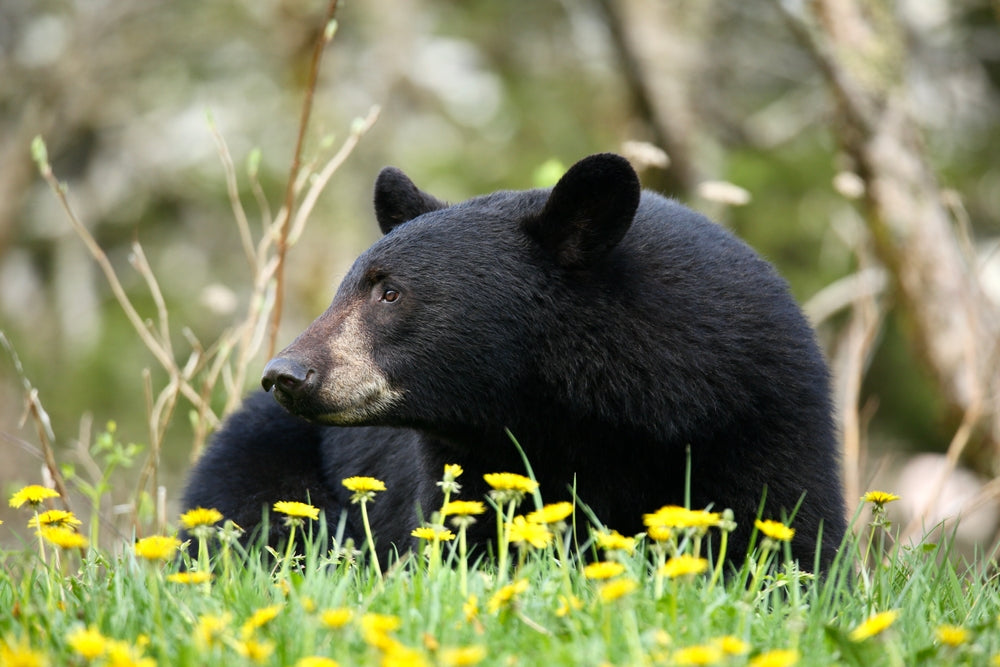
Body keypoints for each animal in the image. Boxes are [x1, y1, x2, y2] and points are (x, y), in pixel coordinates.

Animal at [182, 155, 844, 568]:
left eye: (389, 292)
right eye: (346, 287)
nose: (286, 374)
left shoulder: (763, 418)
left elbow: (789, 534)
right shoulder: (470, 460)